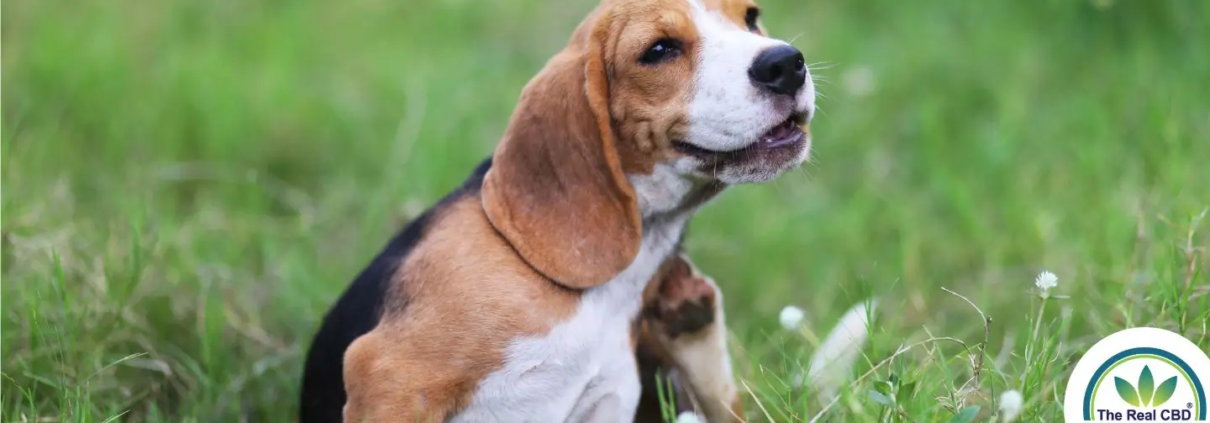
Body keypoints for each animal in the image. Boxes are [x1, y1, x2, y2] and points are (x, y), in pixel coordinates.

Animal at [297, 0, 817, 420]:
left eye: (750, 16)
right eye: (659, 50)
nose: (786, 63)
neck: (611, 290)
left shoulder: (609, 401)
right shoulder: (389, 376)